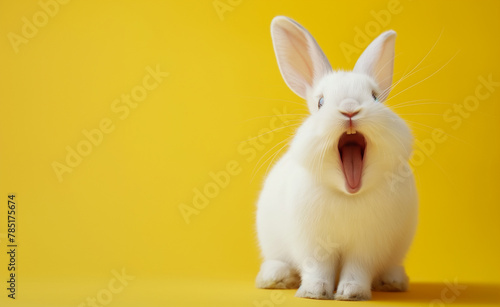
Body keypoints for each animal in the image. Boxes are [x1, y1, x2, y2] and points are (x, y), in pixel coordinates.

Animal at [256, 16, 420, 300]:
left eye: (375, 97)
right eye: (321, 102)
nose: (350, 108)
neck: (348, 195)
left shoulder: (367, 246)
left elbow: (357, 270)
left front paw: (351, 293)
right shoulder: (312, 243)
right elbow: (317, 268)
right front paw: (314, 292)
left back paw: (393, 281)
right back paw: (275, 277)